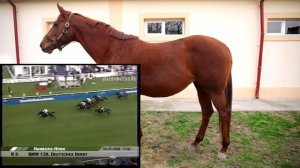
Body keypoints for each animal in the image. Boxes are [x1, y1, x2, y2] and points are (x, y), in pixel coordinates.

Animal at [40, 3, 232, 159]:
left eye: (55, 24)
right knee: (207, 111)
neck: (114, 48)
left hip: (214, 90)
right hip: (201, 87)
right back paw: (195, 143)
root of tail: (223, 46)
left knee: (224, 113)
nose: (42, 45)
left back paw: (223, 150)